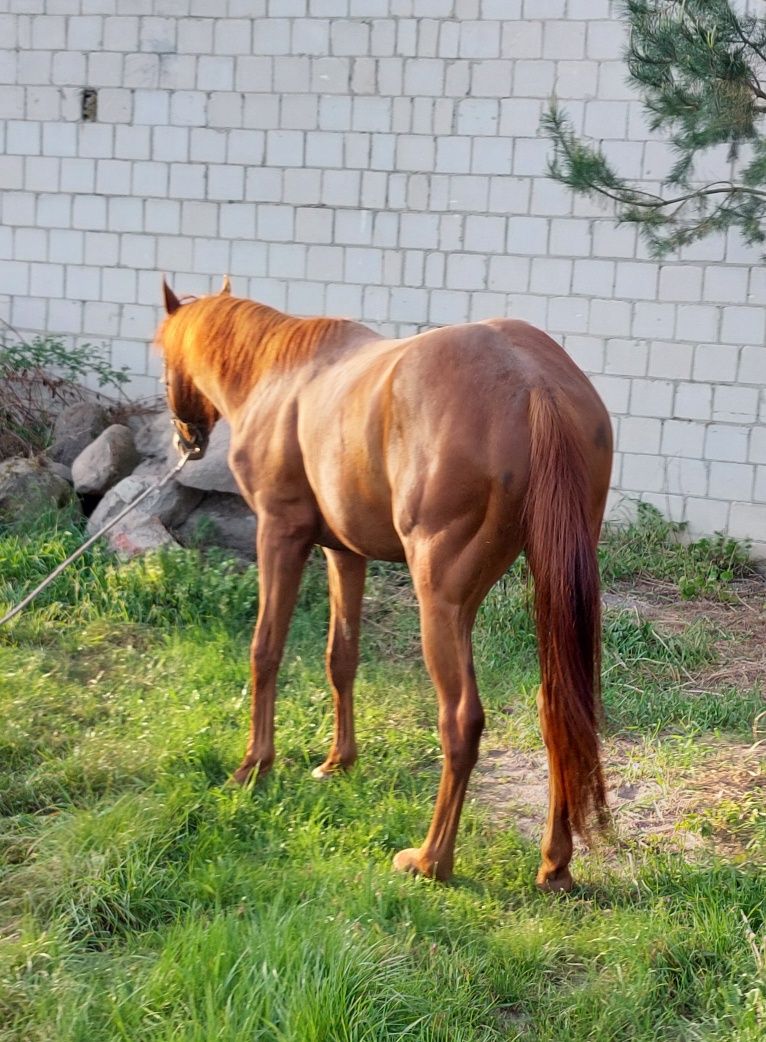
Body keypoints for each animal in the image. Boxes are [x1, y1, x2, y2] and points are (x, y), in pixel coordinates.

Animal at [158, 275, 612, 887]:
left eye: (164, 357)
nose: (187, 441)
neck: (280, 372)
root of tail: (533, 383)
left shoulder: (279, 535)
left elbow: (265, 649)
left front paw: (254, 766)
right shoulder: (344, 554)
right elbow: (341, 657)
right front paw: (337, 762)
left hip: (442, 601)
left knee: (461, 720)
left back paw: (430, 860)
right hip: (553, 588)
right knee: (558, 708)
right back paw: (554, 865)